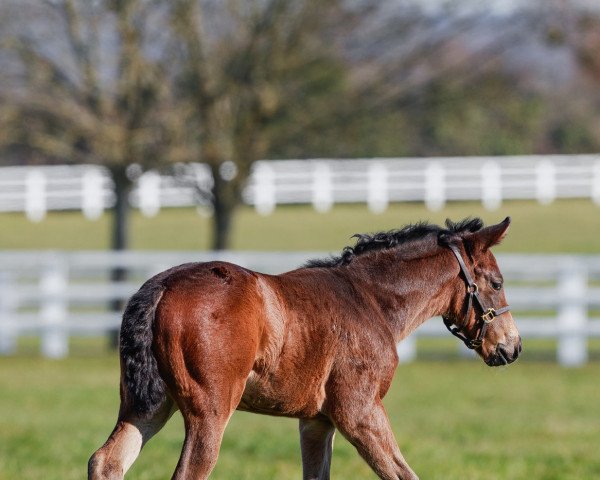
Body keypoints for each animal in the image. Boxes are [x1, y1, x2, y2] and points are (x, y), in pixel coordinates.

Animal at [88, 218, 520, 480]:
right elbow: (402, 473)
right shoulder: (358, 411)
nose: (512, 347)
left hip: (147, 405)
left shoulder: (317, 421)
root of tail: (160, 287)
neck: (370, 300)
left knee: (106, 461)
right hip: (208, 412)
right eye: (497, 283)